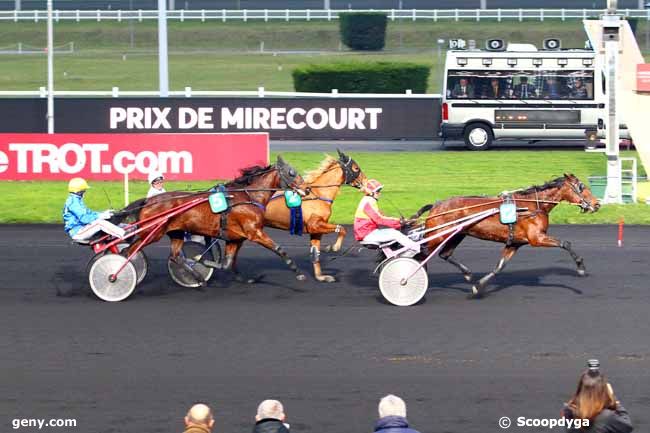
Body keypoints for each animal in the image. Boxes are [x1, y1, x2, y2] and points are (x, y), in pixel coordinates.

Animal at [118, 155, 306, 284]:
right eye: (292, 172)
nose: (307, 188)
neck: (248, 197)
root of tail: (148, 201)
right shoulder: (255, 232)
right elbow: (279, 249)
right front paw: (298, 273)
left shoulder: (236, 238)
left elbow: (228, 263)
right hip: (151, 233)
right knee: (127, 252)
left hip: (176, 232)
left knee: (175, 256)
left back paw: (198, 278)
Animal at [262, 150, 364, 282]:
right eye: (356, 168)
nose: (364, 181)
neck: (319, 195)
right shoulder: (314, 225)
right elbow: (342, 228)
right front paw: (334, 247)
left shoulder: (316, 230)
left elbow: (315, 252)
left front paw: (320, 276)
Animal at [412, 174, 600, 298]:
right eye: (582, 187)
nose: (597, 204)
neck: (532, 206)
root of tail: (436, 205)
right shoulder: (537, 238)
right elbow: (566, 243)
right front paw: (581, 267)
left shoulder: (514, 243)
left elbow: (499, 267)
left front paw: (478, 286)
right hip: (438, 235)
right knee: (421, 254)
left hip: (457, 234)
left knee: (444, 254)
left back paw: (466, 274)